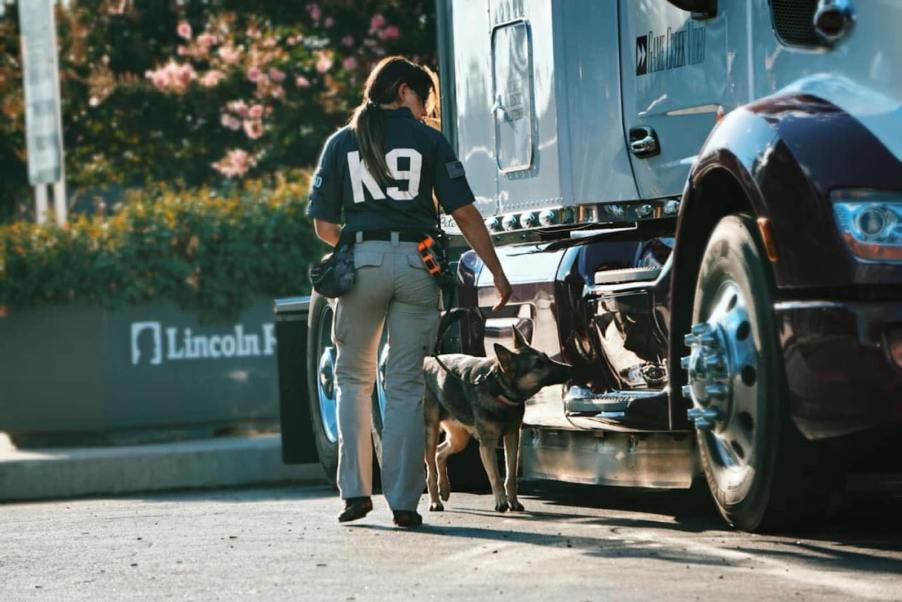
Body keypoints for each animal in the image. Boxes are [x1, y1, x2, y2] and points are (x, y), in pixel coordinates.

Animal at [426, 318, 572, 510]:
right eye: (538, 364)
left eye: (546, 357)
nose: (571, 368)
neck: (499, 391)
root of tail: (427, 361)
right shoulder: (487, 445)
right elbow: (495, 477)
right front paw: (501, 502)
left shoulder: (512, 437)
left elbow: (511, 476)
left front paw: (514, 502)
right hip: (430, 433)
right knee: (430, 470)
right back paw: (435, 500)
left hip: (459, 438)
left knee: (439, 453)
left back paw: (444, 488)